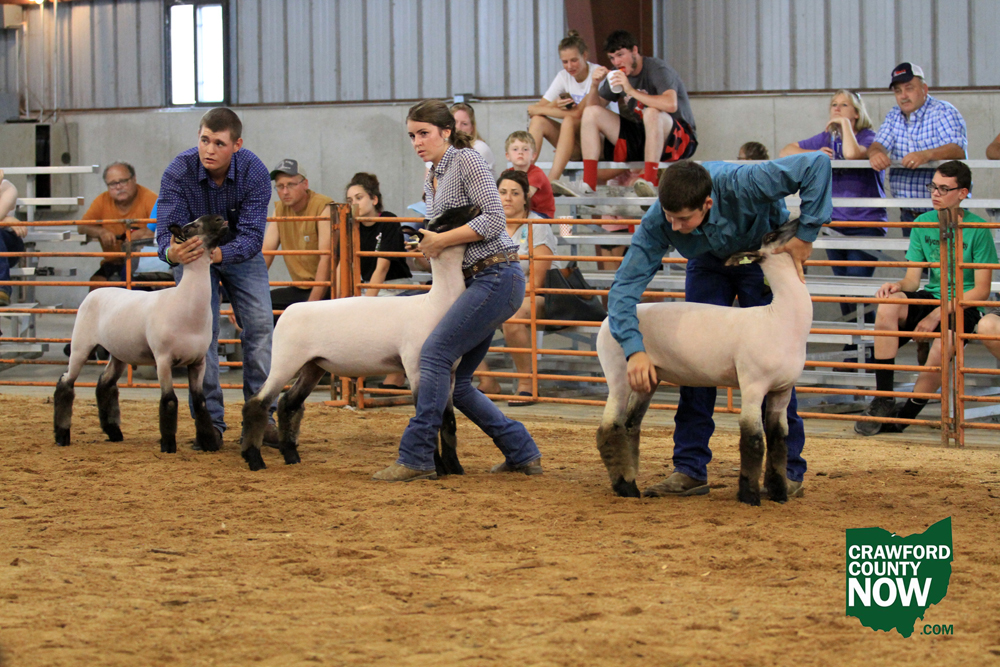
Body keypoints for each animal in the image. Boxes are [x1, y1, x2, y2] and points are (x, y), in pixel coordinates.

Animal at [54, 215, 229, 454]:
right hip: (81, 345)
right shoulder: (163, 359)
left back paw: (114, 433)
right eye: (191, 226)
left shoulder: (198, 361)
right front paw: (168, 445)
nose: (221, 219)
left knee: (105, 384)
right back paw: (62, 436)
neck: (185, 303)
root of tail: (95, 291)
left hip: (118, 352)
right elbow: (169, 401)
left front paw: (210, 443)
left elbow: (201, 403)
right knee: (66, 383)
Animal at [239, 204, 481, 472]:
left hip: (313, 365)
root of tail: (287, 312)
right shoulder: (416, 368)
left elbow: (448, 421)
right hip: (285, 360)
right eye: (443, 222)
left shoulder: (450, 372)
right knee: (257, 403)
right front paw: (436, 468)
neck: (434, 304)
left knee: (288, 403)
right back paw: (254, 459)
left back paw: (291, 456)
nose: (475, 207)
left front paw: (455, 469)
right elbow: (429, 416)